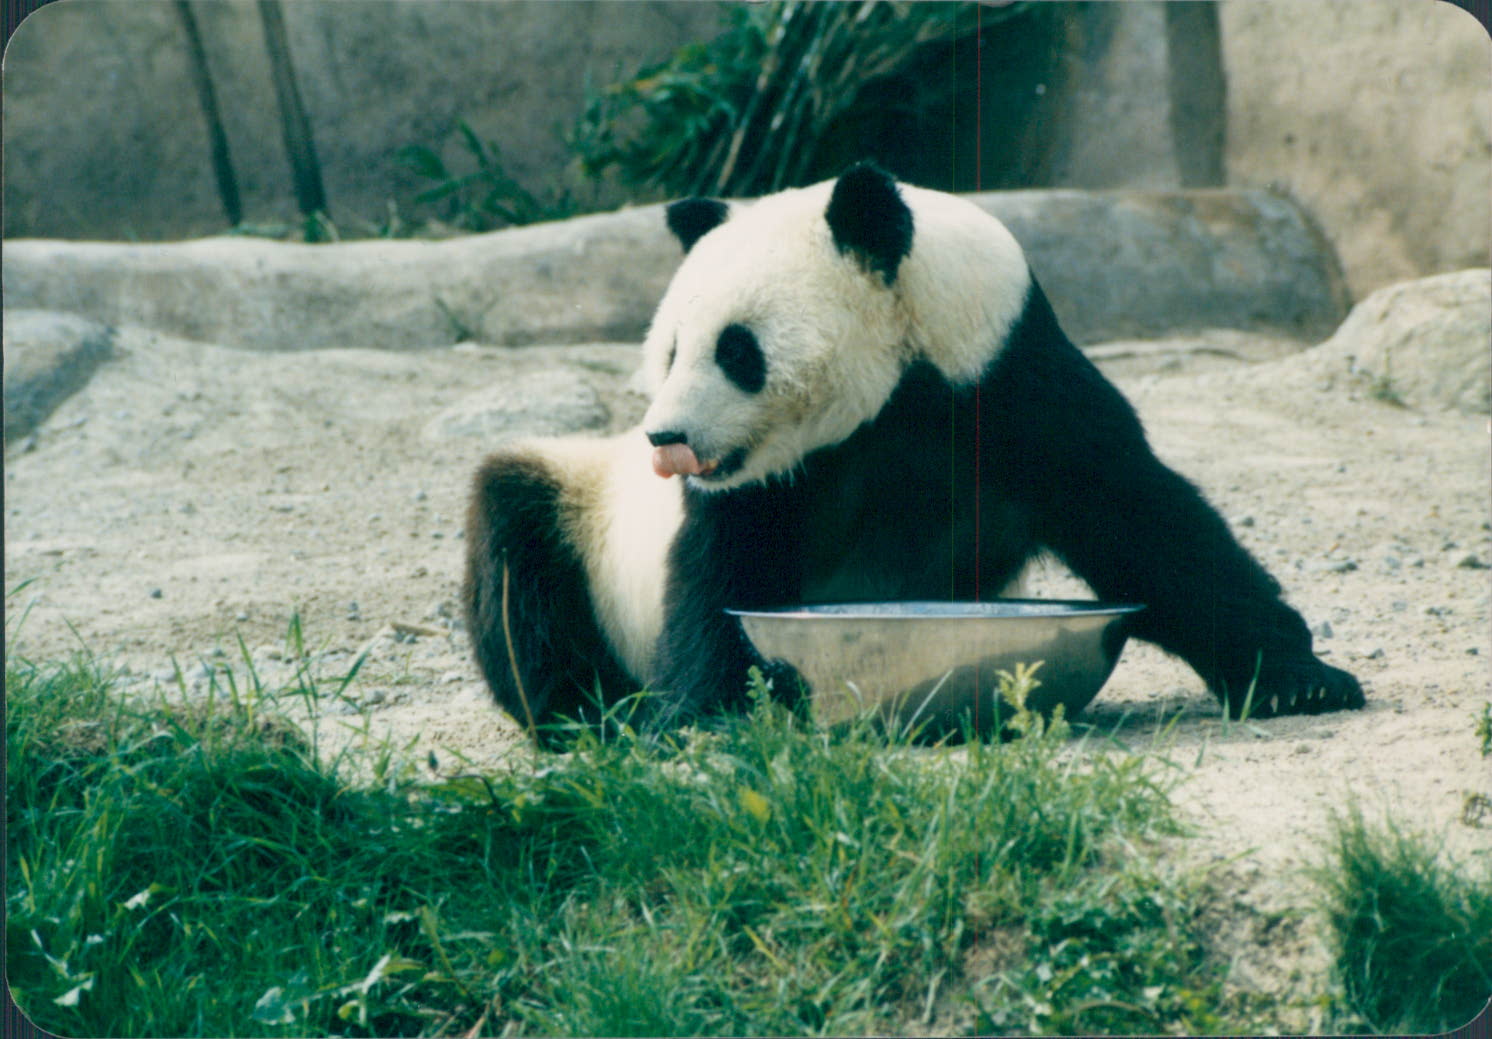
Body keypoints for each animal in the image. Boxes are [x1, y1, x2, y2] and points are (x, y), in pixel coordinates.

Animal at [463, 162, 1364, 744]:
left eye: (737, 350)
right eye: (671, 348)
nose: (666, 440)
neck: (902, 379)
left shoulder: (1011, 378)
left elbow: (1146, 523)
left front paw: (1301, 678)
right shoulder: (764, 479)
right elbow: (720, 570)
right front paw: (703, 717)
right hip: (591, 510)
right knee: (516, 540)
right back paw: (586, 715)